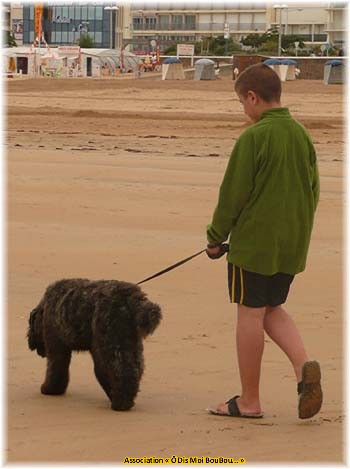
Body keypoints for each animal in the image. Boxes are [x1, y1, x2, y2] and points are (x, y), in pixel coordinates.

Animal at [27, 278, 161, 410]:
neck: (45, 307)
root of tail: (132, 297)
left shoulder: (57, 346)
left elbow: (55, 369)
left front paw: (50, 389)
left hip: (110, 345)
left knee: (120, 372)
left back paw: (120, 403)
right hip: (129, 345)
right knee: (134, 369)